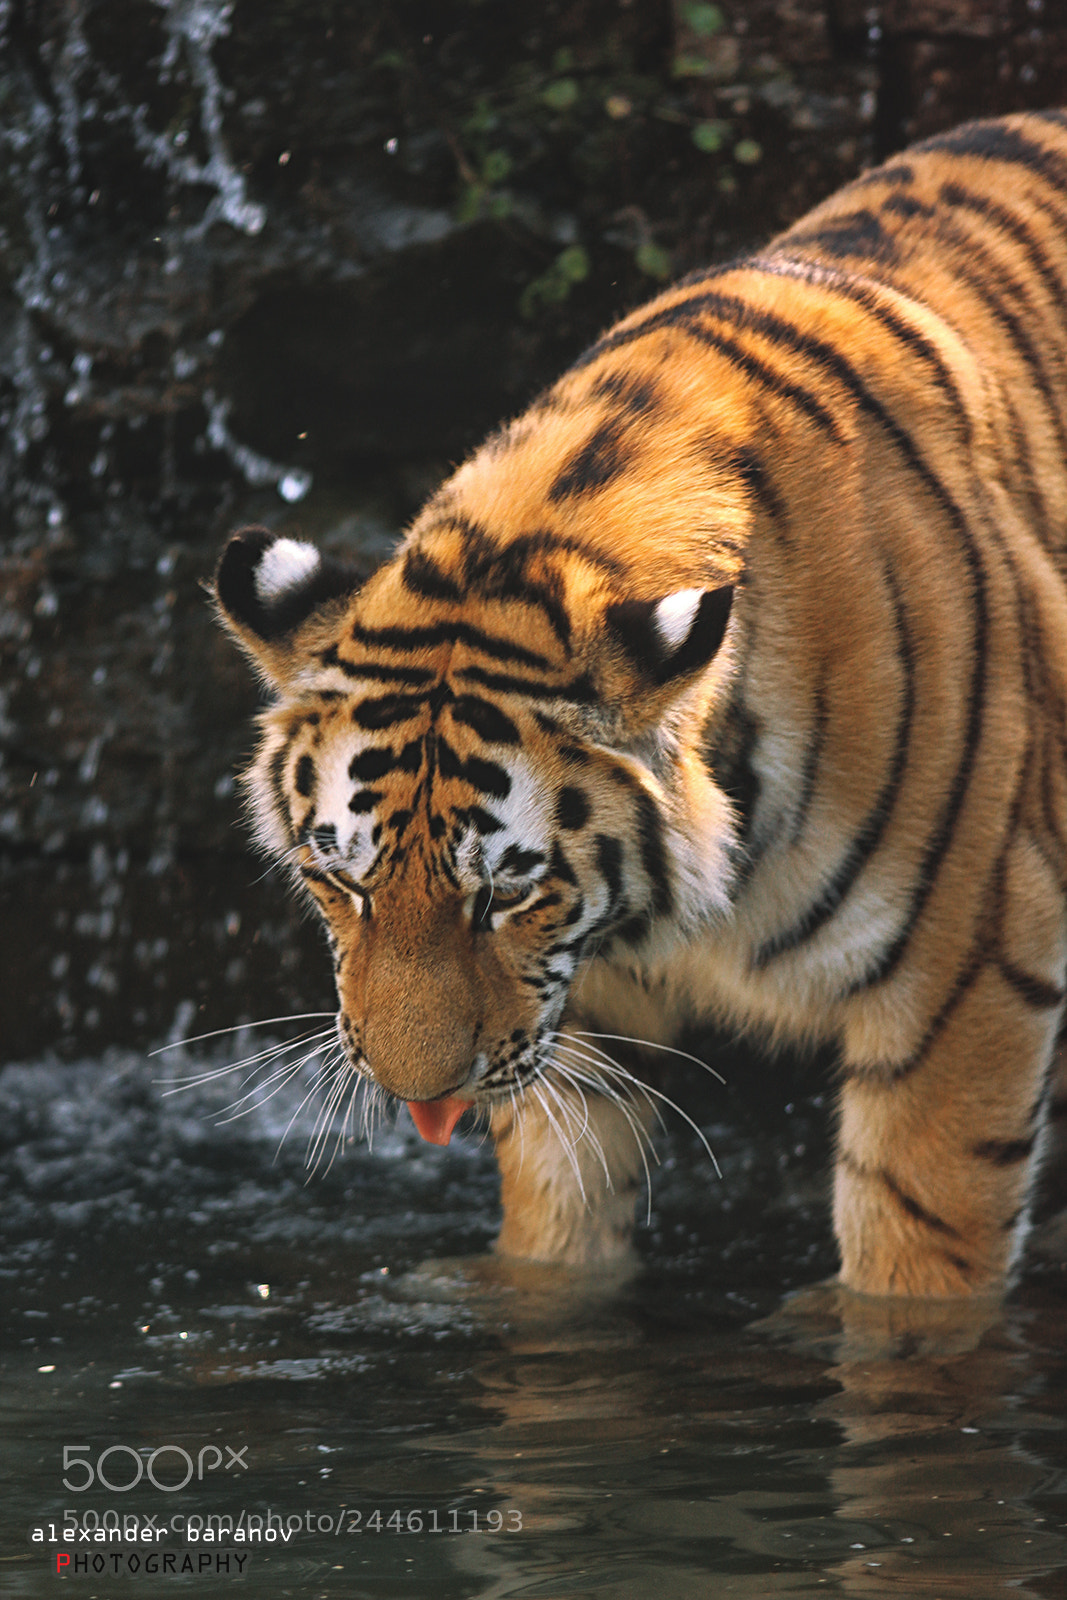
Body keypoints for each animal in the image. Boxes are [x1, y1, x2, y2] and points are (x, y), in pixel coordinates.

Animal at [214, 110, 1067, 1298]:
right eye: (340, 882)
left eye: (505, 894)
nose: (418, 1094)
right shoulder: (573, 1017)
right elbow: (558, 1226)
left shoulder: (970, 968)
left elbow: (919, 1245)